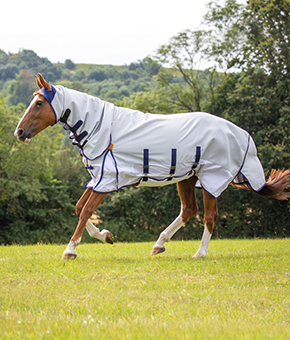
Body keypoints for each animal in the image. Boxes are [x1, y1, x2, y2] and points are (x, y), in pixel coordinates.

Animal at [14, 73, 290, 260]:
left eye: (39, 103)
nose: (19, 132)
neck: (102, 128)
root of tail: (241, 134)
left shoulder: (107, 181)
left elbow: (85, 211)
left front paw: (70, 249)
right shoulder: (97, 179)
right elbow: (79, 208)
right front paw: (106, 236)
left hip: (211, 180)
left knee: (209, 217)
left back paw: (199, 253)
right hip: (187, 178)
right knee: (189, 210)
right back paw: (159, 244)